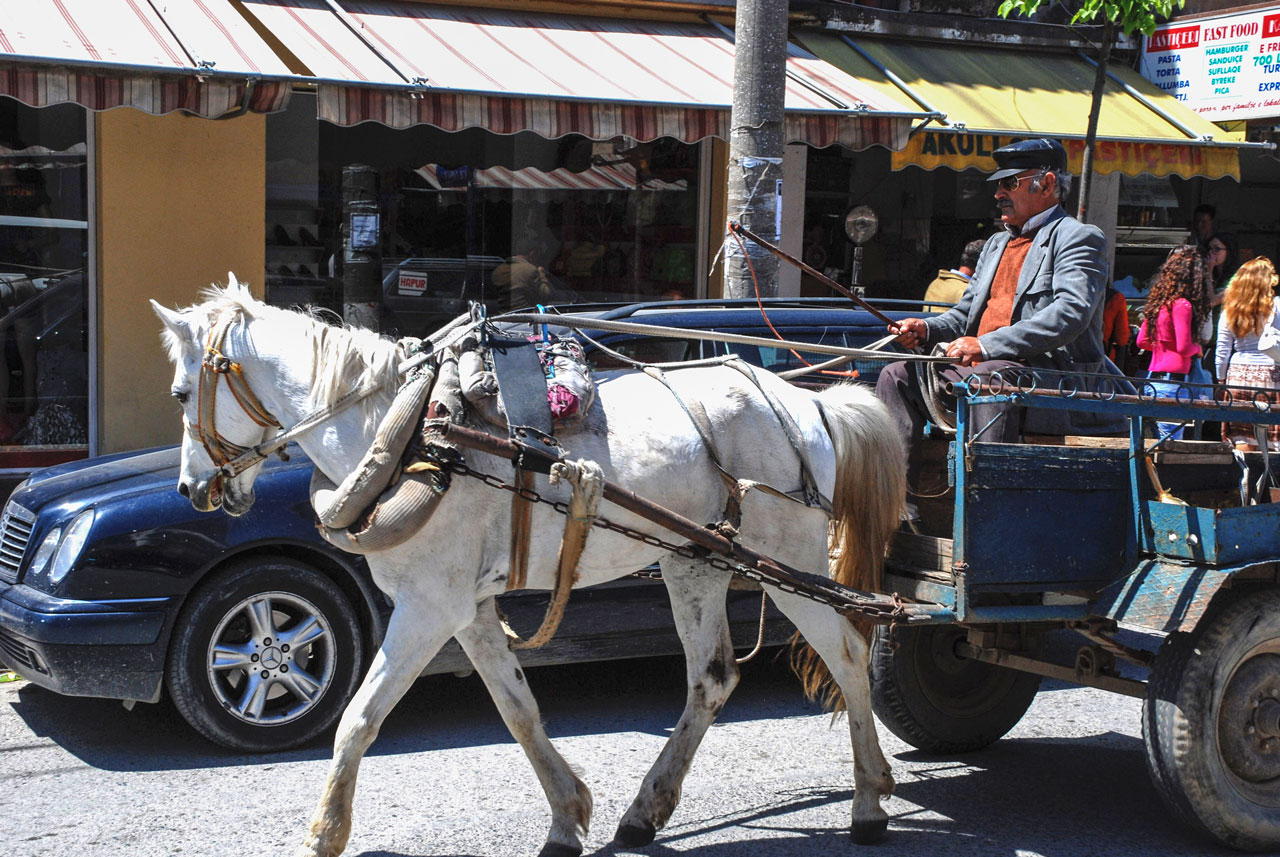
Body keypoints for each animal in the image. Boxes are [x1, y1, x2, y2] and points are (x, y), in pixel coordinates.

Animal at [149, 278, 906, 854]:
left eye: (183, 393)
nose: (192, 489)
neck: (409, 430)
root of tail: (809, 400)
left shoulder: (428, 606)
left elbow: (358, 717)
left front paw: (325, 831)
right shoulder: (466, 607)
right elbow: (517, 709)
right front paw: (568, 815)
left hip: (791, 560)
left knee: (847, 654)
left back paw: (870, 799)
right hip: (696, 560)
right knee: (712, 678)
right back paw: (646, 810)